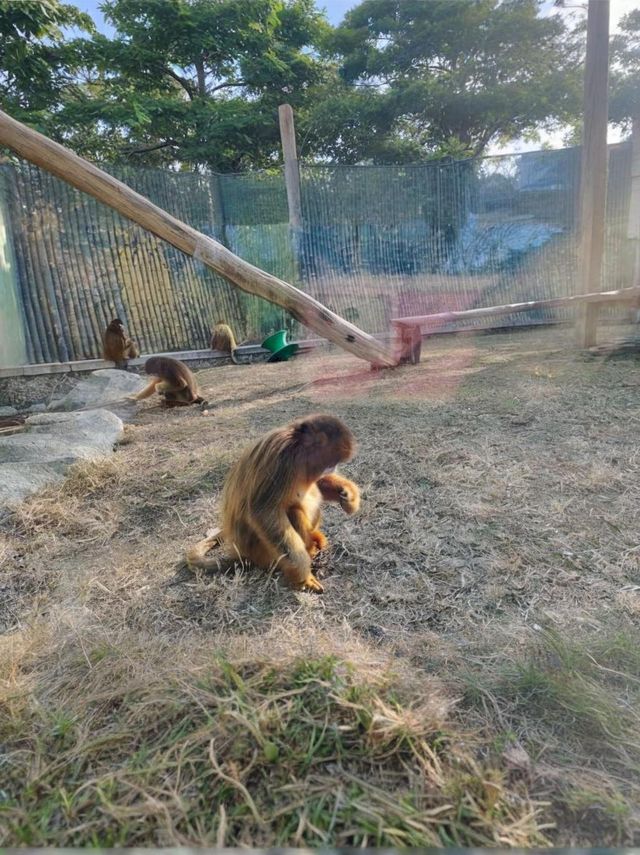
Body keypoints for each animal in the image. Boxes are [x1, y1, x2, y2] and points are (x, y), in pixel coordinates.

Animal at [188, 416, 362, 596]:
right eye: (332, 463)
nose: (334, 468)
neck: (296, 448)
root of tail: (246, 554)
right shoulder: (281, 459)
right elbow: (264, 512)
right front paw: (304, 576)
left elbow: (319, 482)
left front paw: (347, 495)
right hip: (265, 552)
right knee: (293, 512)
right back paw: (310, 550)